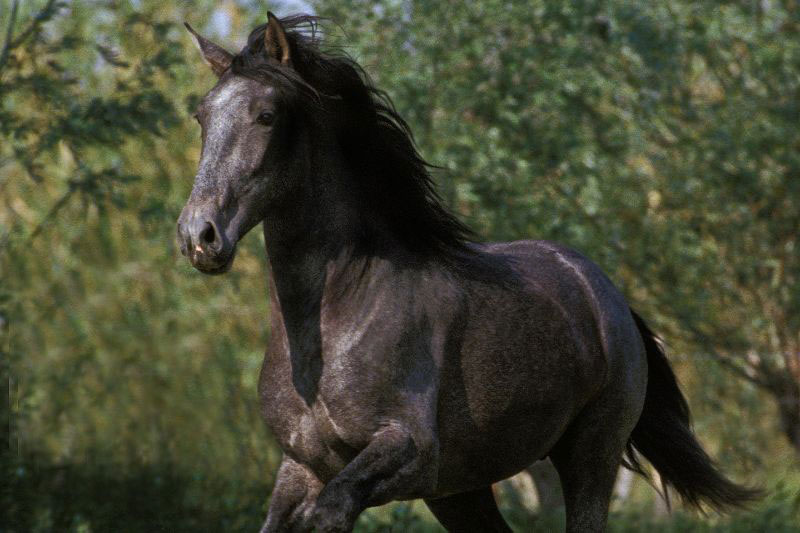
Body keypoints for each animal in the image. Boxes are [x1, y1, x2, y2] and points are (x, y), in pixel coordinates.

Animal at [177, 12, 758, 532]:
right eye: (202, 116)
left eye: (266, 115)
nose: (199, 236)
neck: (336, 316)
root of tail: (606, 294)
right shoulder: (300, 467)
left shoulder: (407, 452)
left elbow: (331, 513)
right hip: (462, 490)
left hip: (590, 457)